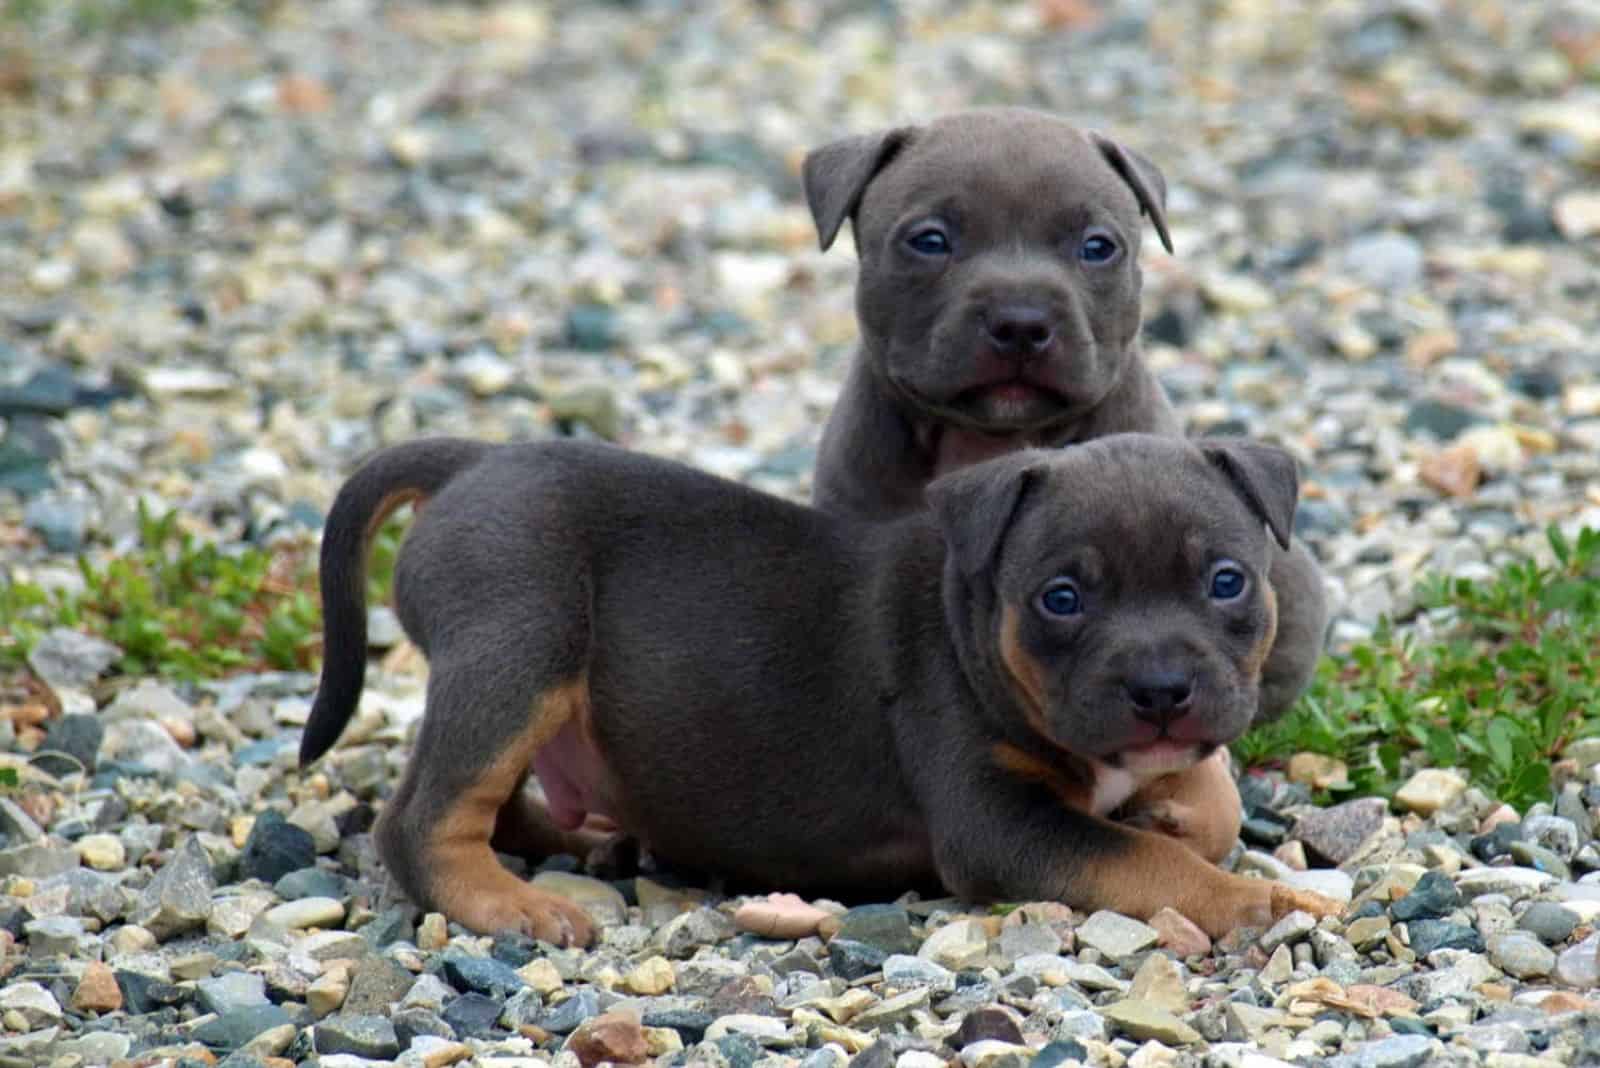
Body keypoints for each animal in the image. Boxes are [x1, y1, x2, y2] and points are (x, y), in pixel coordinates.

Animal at [300, 434, 1337, 940]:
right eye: (1062, 598)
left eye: (1227, 582)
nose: (1162, 689)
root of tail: (471, 462)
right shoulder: (999, 824)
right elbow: (1135, 859)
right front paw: (1250, 902)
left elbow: (1211, 801)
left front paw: (1178, 811)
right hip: (520, 645)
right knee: (426, 816)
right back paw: (509, 903)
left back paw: (587, 843)